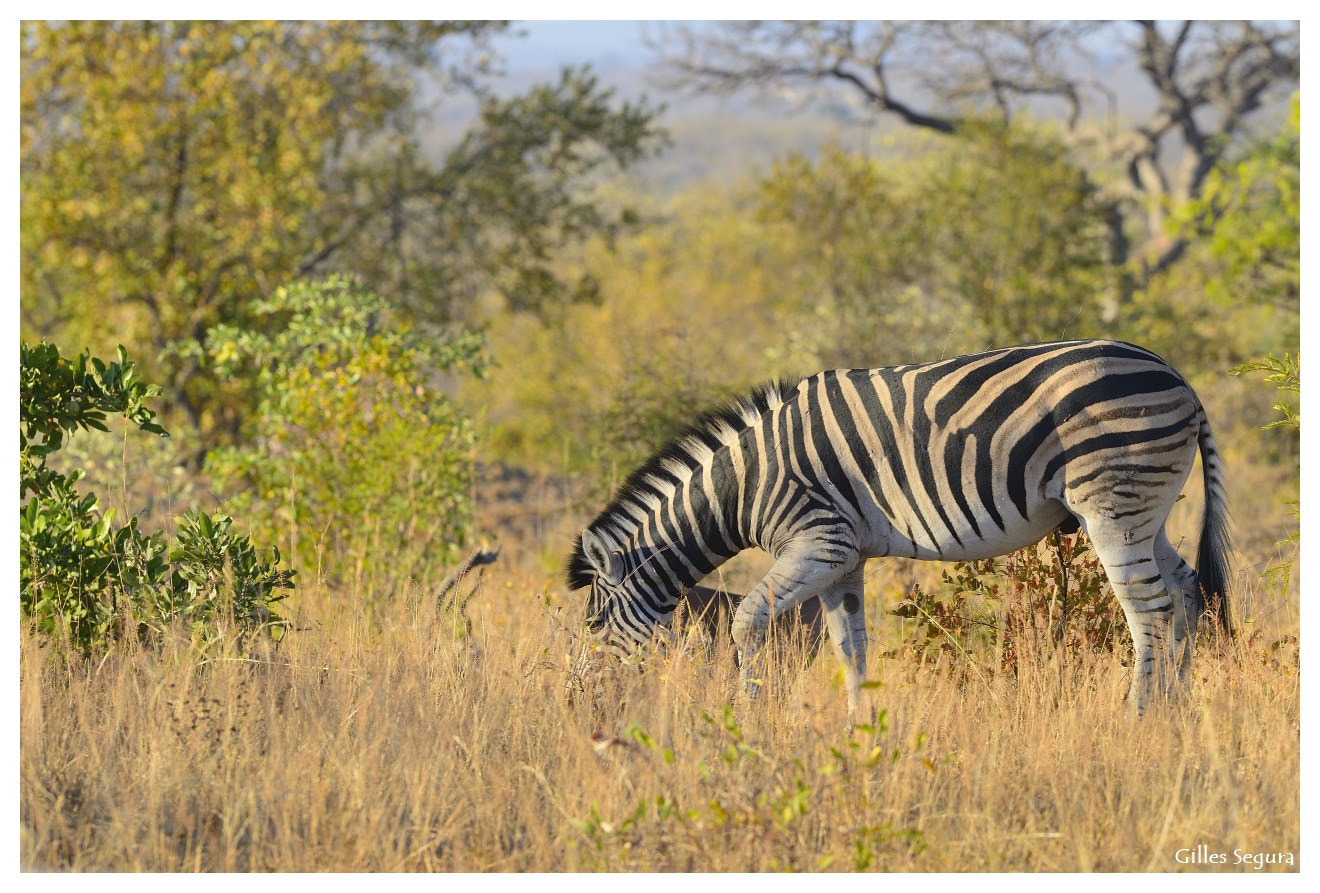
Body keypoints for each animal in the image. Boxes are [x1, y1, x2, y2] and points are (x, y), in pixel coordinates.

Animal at [562, 336, 1230, 717]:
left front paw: (746, 715)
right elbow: (850, 648)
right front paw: (860, 733)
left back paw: (1138, 716)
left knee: (1149, 609)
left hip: (1112, 505)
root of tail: (1181, 380)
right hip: (1149, 511)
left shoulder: (820, 542)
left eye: (592, 624)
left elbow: (747, 620)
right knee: (1186, 589)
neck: (745, 486)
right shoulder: (843, 558)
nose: (575, 705)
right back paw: (1180, 710)